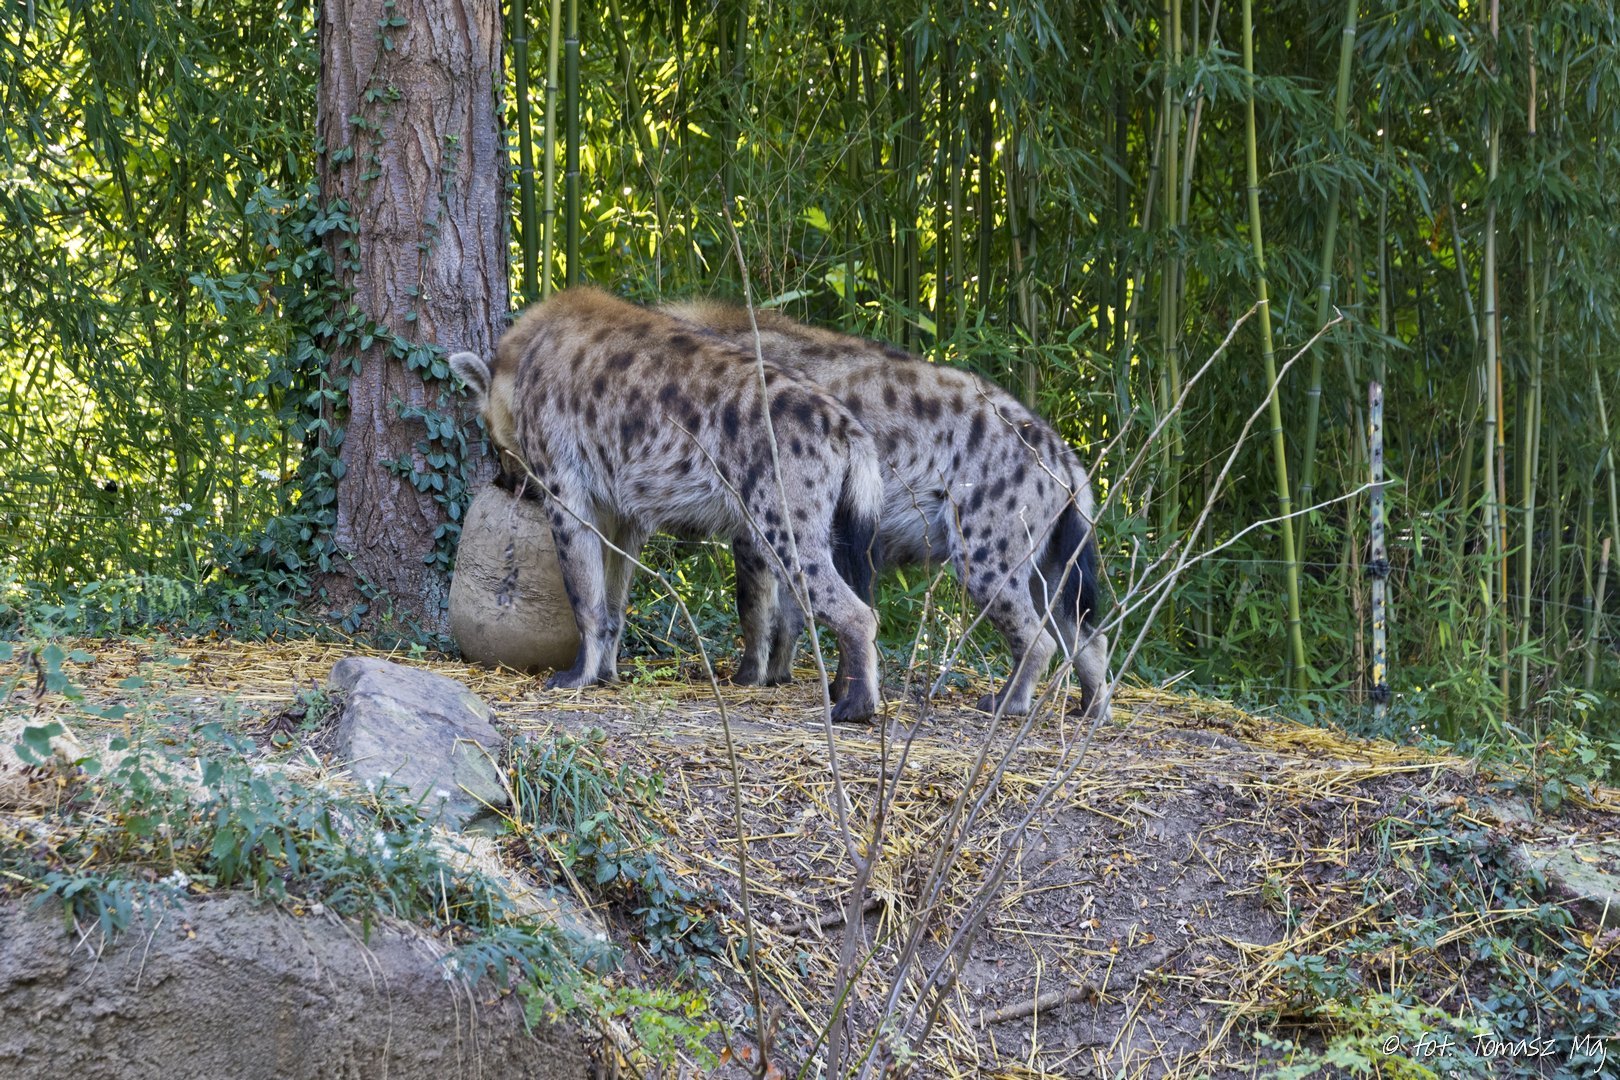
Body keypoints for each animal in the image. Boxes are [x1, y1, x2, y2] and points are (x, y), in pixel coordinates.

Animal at [449, 286, 886, 721]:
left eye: (496, 443)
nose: (505, 482)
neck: (527, 359)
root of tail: (844, 422)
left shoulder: (565, 489)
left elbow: (584, 593)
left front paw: (575, 677)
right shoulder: (624, 513)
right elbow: (613, 597)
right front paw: (606, 674)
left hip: (780, 521)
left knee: (854, 610)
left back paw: (855, 706)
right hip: (818, 522)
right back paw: (840, 688)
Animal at [662, 299, 1109, 720]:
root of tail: (1064, 455)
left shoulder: (762, 507)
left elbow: (754, 604)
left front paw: (747, 677)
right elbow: (794, 610)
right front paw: (781, 676)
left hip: (988, 549)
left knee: (1039, 634)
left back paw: (1007, 703)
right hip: (1050, 554)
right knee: (1081, 627)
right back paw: (1092, 707)